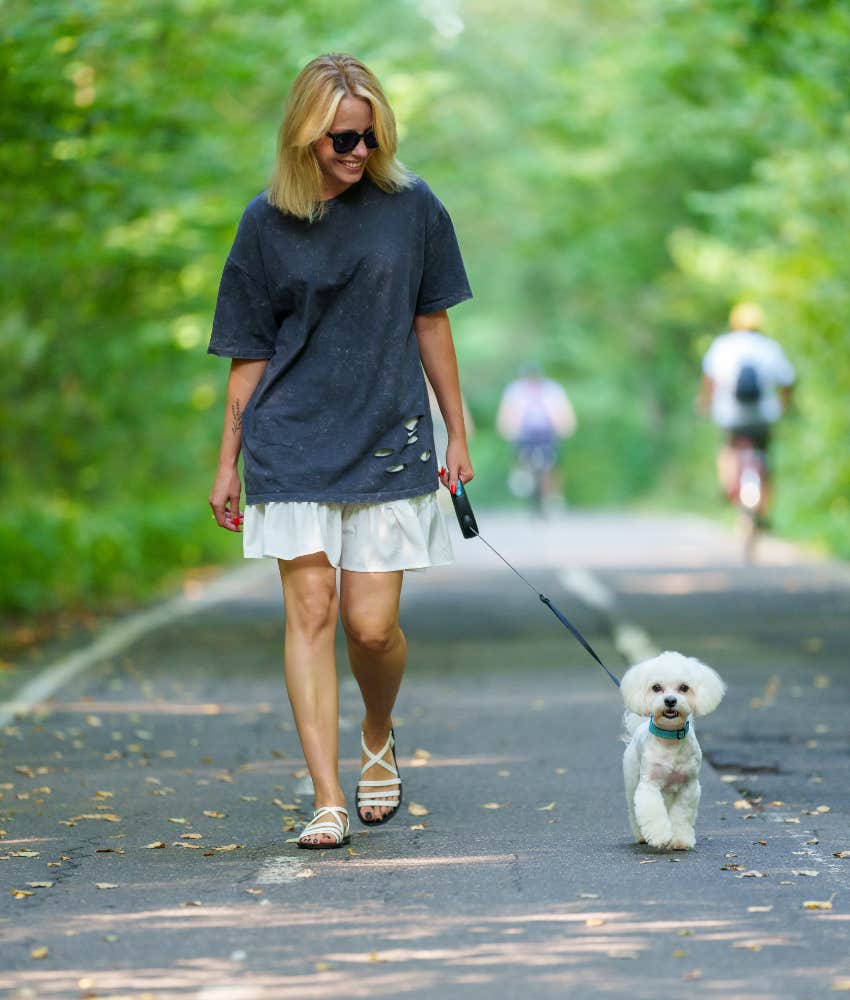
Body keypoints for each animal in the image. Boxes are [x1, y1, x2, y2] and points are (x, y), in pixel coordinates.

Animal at [620, 648, 724, 852]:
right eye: (656, 687)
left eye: (684, 687)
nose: (669, 700)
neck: (669, 740)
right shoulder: (649, 785)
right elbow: (652, 811)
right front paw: (660, 836)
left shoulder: (688, 786)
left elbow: (681, 815)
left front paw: (679, 840)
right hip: (632, 779)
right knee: (633, 810)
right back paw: (641, 836)